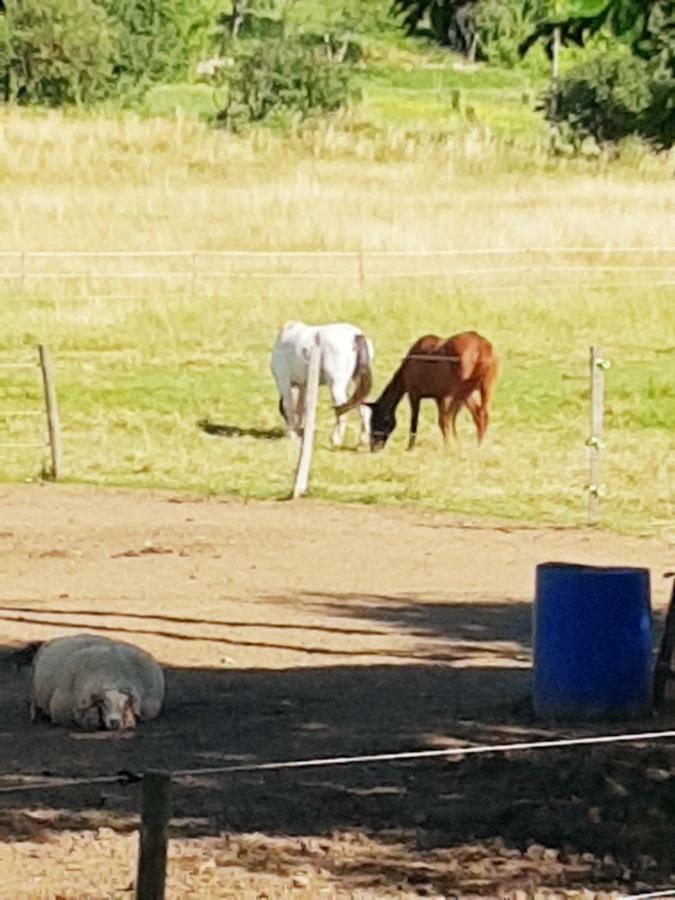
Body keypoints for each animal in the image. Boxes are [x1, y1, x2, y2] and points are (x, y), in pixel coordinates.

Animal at [338, 332, 496, 450]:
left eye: (377, 419)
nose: (375, 447)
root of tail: (482, 345)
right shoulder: (440, 397)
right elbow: (443, 420)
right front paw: (450, 444)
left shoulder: (415, 395)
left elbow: (417, 421)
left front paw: (412, 447)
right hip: (482, 389)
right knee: (480, 413)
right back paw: (479, 446)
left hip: (463, 390)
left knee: (469, 414)